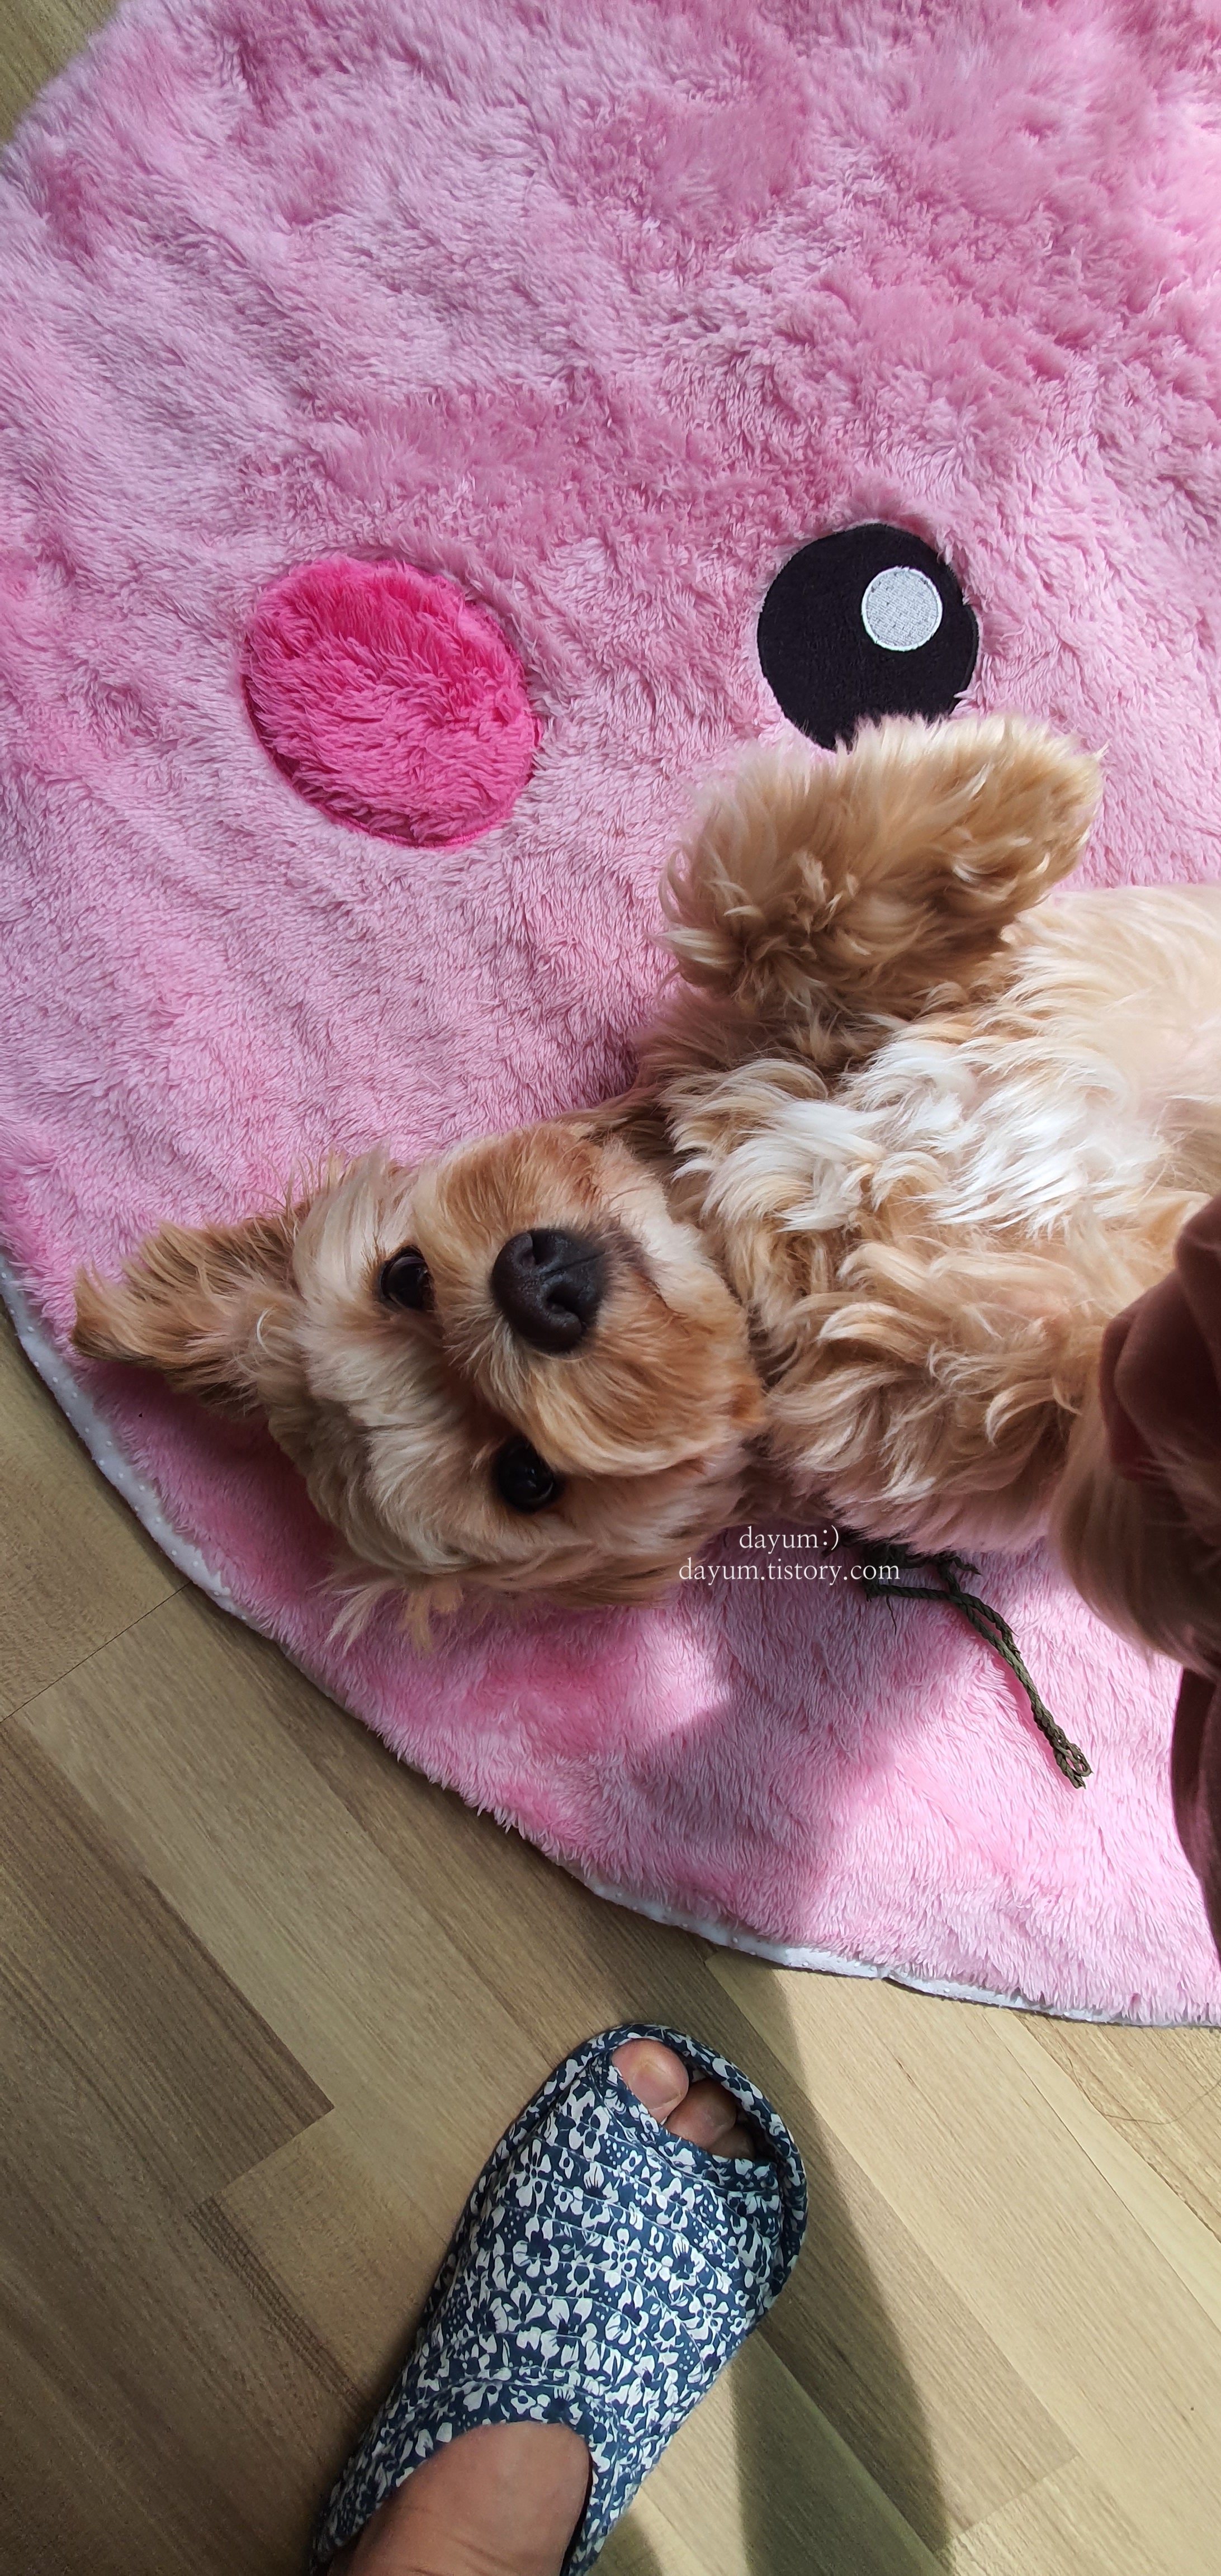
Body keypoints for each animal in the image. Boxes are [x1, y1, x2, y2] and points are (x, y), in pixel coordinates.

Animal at [73, 714, 1221, 1638]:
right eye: (525, 1479)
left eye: (401, 1276)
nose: (537, 1286)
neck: (726, 1242)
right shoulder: (919, 1417)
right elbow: (1037, 1364)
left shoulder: (776, 1030)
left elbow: (775, 911)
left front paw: (1010, 789)